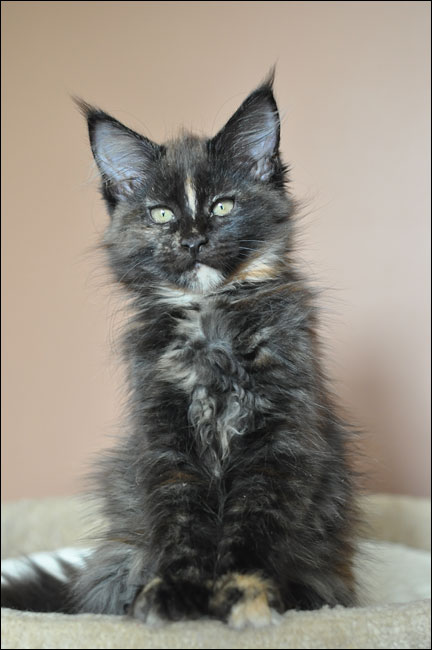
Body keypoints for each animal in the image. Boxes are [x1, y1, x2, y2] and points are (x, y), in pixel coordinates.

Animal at [1, 72, 358, 628]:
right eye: (163, 214)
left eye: (222, 206)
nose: (192, 240)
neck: (209, 319)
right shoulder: (166, 441)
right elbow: (181, 526)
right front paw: (174, 594)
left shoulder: (276, 441)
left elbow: (251, 526)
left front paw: (244, 593)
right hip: (118, 557)